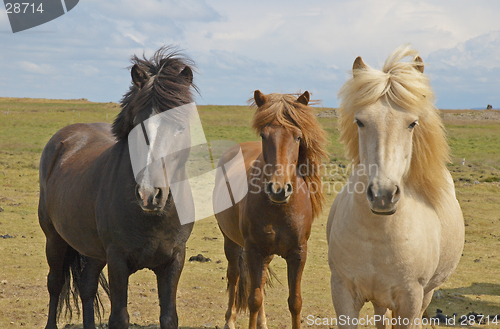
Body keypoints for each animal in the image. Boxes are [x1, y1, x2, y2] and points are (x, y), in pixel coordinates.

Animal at [38, 46, 197, 328]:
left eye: (180, 126)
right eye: (137, 124)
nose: (149, 194)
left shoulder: (174, 260)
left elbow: (169, 317)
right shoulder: (118, 261)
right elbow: (119, 317)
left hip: (92, 251)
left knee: (87, 286)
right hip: (54, 238)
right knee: (55, 284)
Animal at [214, 91, 328, 328]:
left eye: (298, 137)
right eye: (264, 135)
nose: (278, 189)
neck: (279, 208)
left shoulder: (298, 253)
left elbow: (295, 301)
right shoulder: (254, 251)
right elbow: (254, 299)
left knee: (261, 279)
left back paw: (263, 322)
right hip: (231, 242)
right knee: (234, 276)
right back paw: (230, 320)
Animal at [328, 44, 464, 328]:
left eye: (412, 123)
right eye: (360, 121)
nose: (383, 195)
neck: (377, 235)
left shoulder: (410, 299)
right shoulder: (343, 292)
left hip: (425, 294)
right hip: (380, 298)